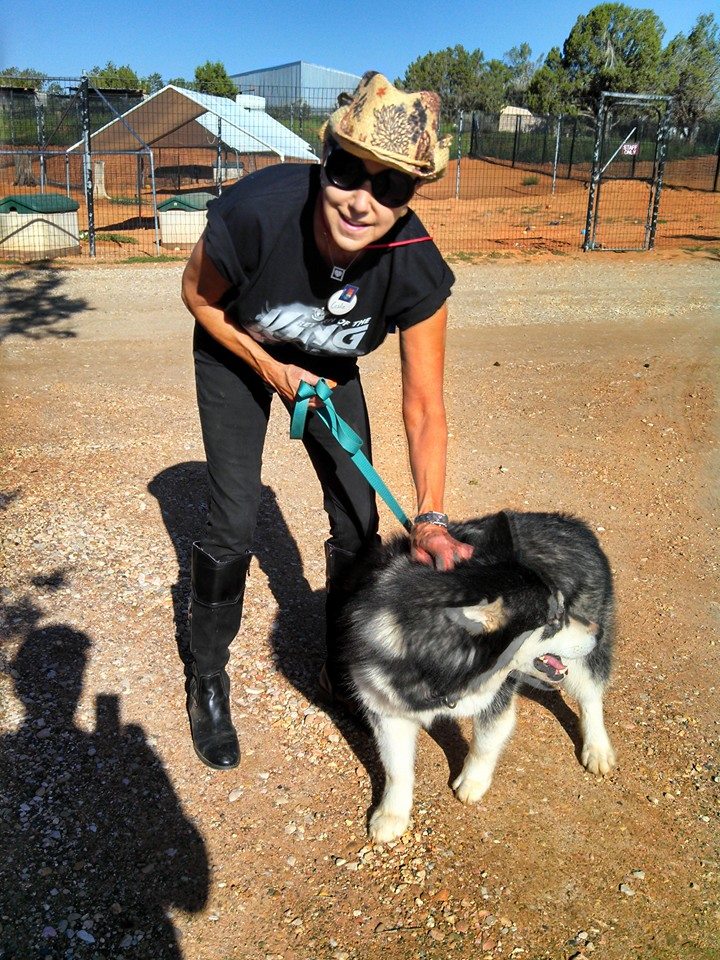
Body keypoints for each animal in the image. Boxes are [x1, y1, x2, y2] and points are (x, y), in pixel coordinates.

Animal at [336, 510, 612, 840]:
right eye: (554, 621)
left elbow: (486, 742)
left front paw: (472, 781)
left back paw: (597, 748)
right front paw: (391, 815)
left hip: (582, 662)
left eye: (562, 609)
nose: (597, 631)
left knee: (591, 695)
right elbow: (396, 769)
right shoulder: (386, 708)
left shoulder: (498, 698)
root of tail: (573, 524)